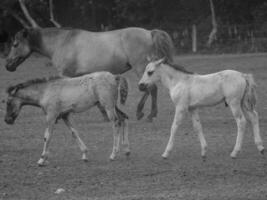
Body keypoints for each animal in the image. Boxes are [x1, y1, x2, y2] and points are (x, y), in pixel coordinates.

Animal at [4, 27, 176, 121]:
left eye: (15, 44)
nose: (7, 65)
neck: (62, 42)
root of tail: (149, 32)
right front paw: (106, 114)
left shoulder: (66, 75)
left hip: (141, 67)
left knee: (151, 88)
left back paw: (146, 114)